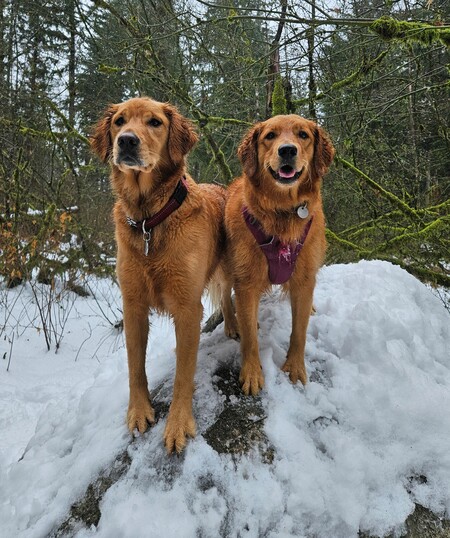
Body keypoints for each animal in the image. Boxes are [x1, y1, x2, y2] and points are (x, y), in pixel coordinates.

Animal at [90, 97, 229, 452]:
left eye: (154, 122)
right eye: (119, 121)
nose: (126, 141)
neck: (150, 219)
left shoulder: (188, 307)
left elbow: (183, 373)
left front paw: (178, 424)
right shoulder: (133, 304)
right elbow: (134, 366)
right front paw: (139, 412)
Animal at [224, 113, 334, 394]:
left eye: (303, 135)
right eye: (270, 136)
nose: (287, 150)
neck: (281, 212)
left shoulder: (305, 279)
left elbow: (300, 331)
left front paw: (294, 368)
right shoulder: (246, 281)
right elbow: (250, 338)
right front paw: (252, 372)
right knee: (224, 297)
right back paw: (232, 324)